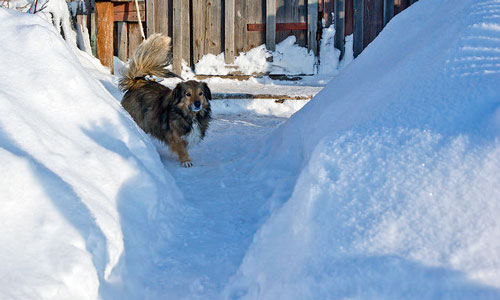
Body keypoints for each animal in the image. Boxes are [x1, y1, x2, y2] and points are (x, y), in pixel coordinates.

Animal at [119, 34, 211, 169]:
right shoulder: (175, 136)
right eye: (188, 94)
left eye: (201, 93)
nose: (197, 104)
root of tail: (137, 82)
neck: (188, 115)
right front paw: (186, 161)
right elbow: (181, 148)